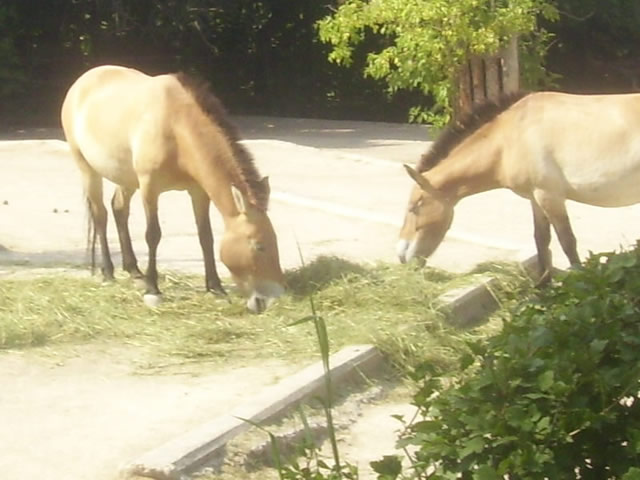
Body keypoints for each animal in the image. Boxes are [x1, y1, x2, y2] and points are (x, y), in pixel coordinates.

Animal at [60, 65, 284, 314]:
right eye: (259, 246)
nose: (270, 299)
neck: (176, 127)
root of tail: (82, 81)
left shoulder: (198, 192)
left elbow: (205, 236)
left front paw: (216, 288)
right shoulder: (149, 187)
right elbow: (153, 235)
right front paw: (153, 291)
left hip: (126, 178)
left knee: (119, 209)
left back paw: (134, 272)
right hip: (88, 169)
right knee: (101, 215)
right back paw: (109, 273)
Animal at [398, 92, 640, 284]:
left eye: (415, 206)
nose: (401, 256)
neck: (510, 138)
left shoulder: (549, 196)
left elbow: (568, 243)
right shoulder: (535, 198)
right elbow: (542, 240)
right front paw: (544, 288)